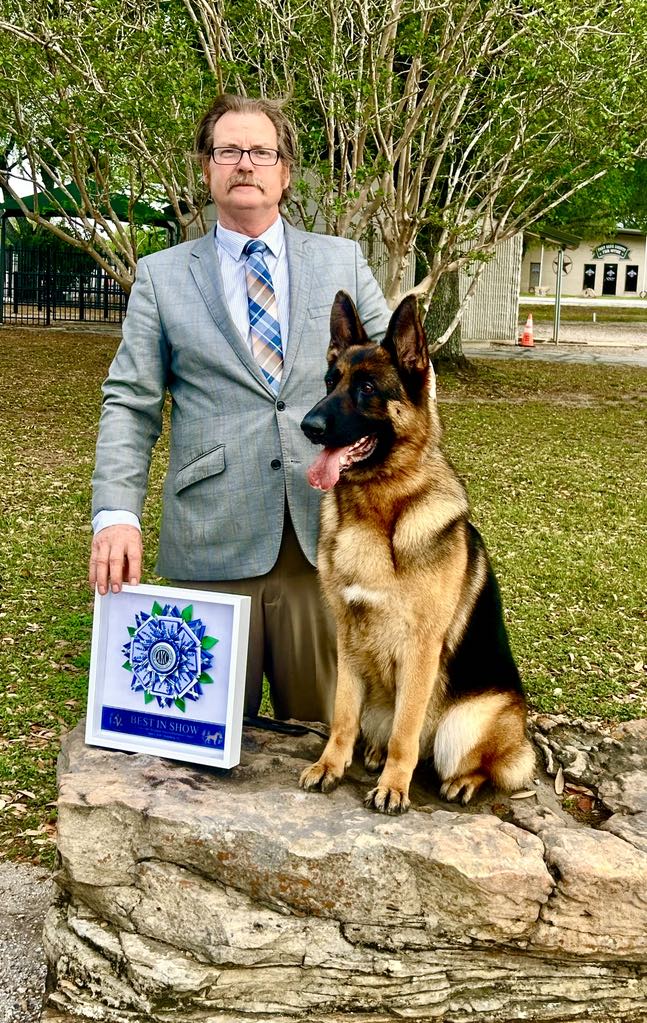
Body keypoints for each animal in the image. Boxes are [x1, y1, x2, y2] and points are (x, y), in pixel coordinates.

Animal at [298, 291, 535, 814]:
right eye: (329, 381)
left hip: (467, 722)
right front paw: (330, 765)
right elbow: (342, 714)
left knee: (490, 763)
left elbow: (406, 733)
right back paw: (369, 754)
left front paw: (394, 786)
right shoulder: (347, 637)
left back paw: (461, 781)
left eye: (367, 388)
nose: (309, 425)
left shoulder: (421, 648)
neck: (375, 514)